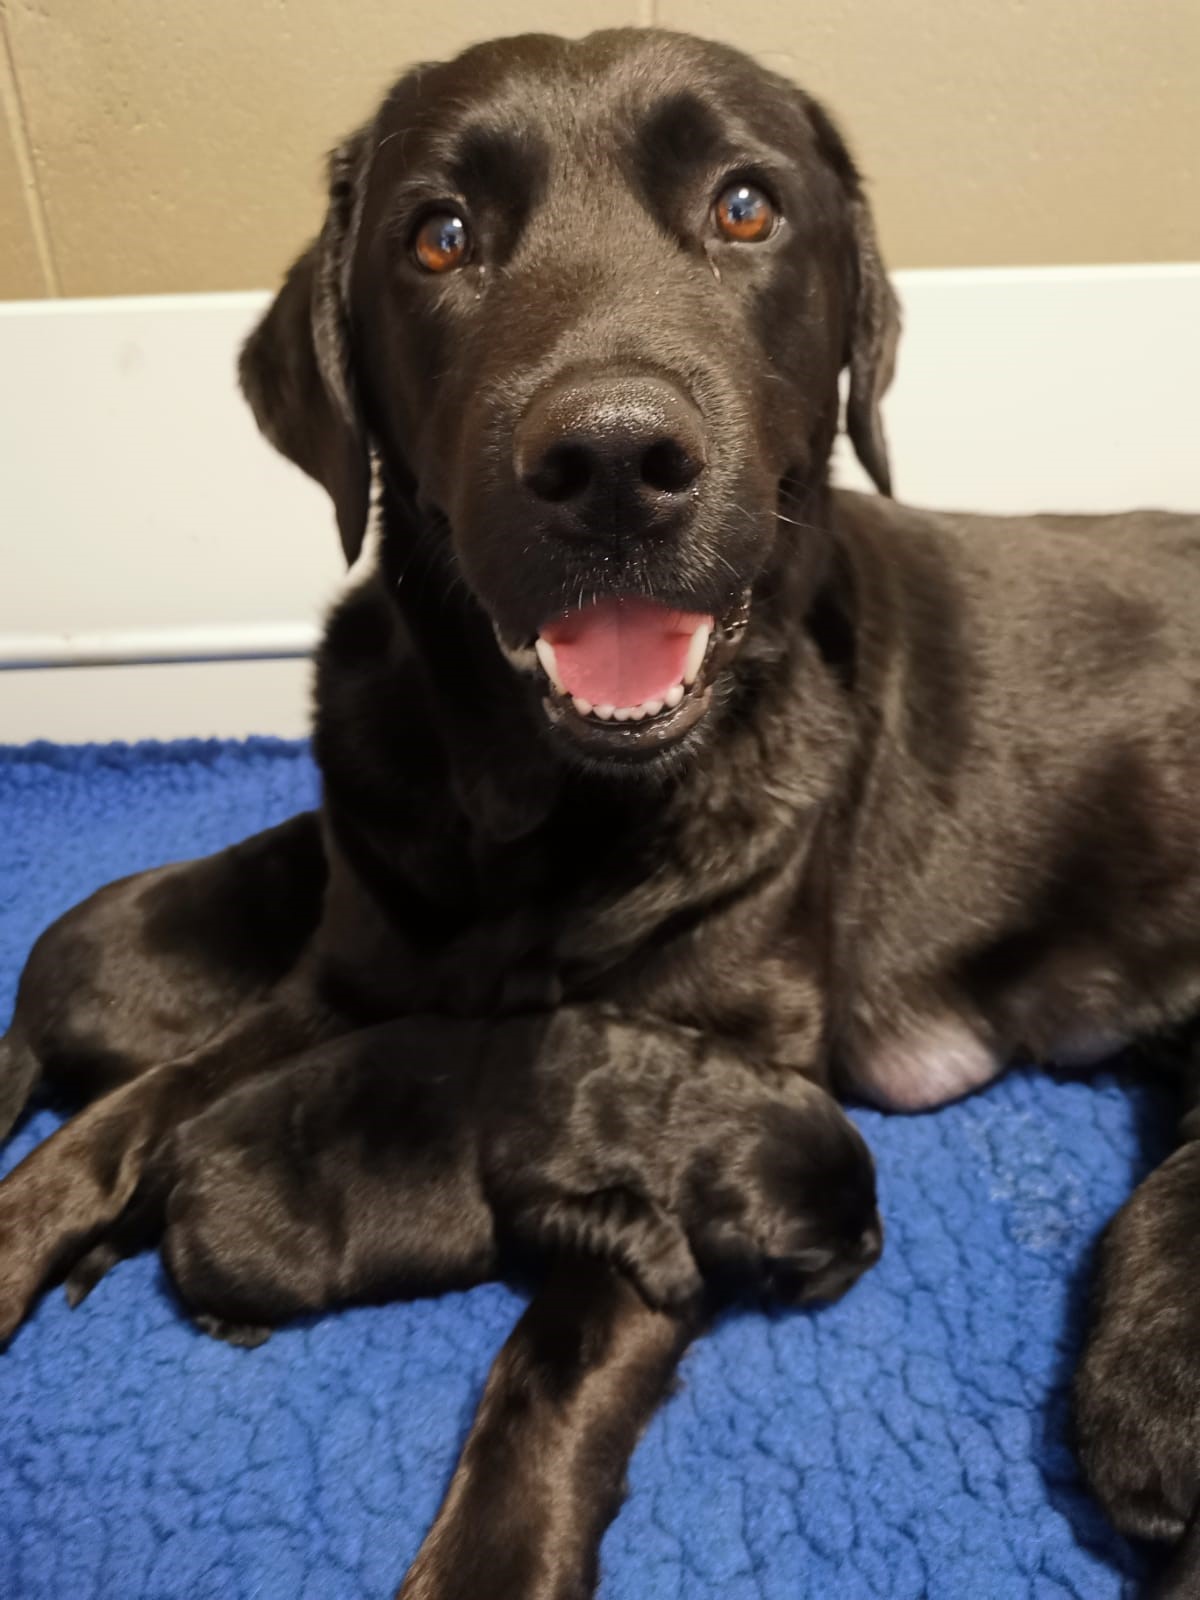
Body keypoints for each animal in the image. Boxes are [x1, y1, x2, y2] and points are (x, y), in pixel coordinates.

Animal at [2, 28, 1200, 1600]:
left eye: (746, 207)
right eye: (439, 237)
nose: (614, 462)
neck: (544, 813)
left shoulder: (712, 1072)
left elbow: (555, 1364)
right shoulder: (344, 981)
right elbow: (122, 1120)